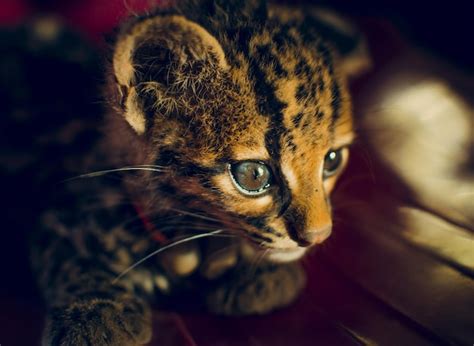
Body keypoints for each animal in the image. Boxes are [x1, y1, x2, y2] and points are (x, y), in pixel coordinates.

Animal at [22, 1, 368, 344]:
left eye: (332, 160)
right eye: (253, 175)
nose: (318, 236)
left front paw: (257, 273)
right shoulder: (56, 201)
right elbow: (70, 252)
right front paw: (95, 312)